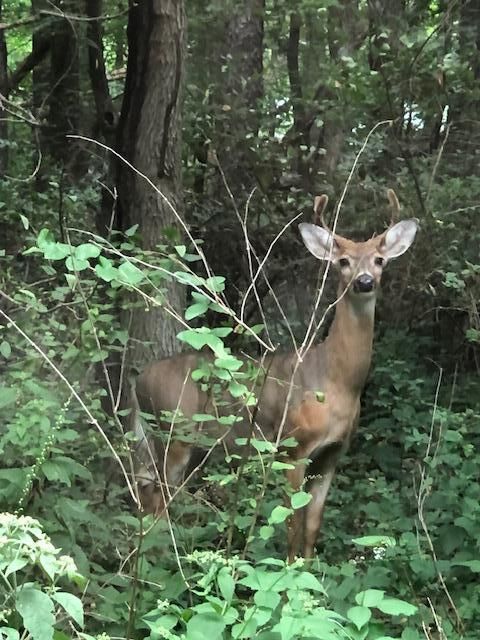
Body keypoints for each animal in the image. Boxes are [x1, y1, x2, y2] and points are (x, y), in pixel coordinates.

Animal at [129, 190, 418, 560]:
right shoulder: (292, 446)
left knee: (146, 487)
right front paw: (289, 568)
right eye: (343, 262)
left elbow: (313, 526)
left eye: (380, 259)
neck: (336, 383)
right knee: (157, 495)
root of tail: (138, 380)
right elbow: (292, 525)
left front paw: (310, 571)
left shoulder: (332, 454)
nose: (364, 281)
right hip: (173, 430)